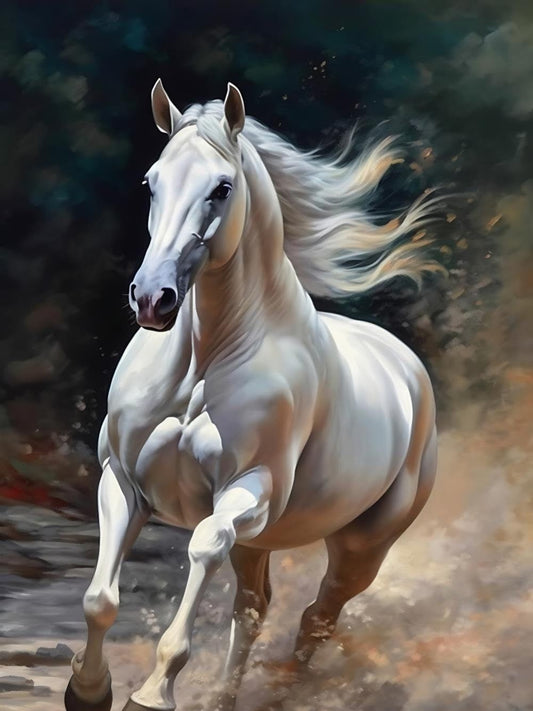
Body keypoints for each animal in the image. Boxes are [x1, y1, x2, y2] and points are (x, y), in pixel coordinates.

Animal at [65, 80, 439, 711]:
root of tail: (407, 367)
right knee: (256, 608)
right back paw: (224, 697)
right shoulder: (123, 482)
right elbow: (100, 600)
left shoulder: (247, 491)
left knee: (317, 616)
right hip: (261, 542)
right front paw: (89, 690)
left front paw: (154, 690)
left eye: (222, 188)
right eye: (150, 182)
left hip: (361, 547)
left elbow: (202, 546)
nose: (153, 299)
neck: (203, 364)